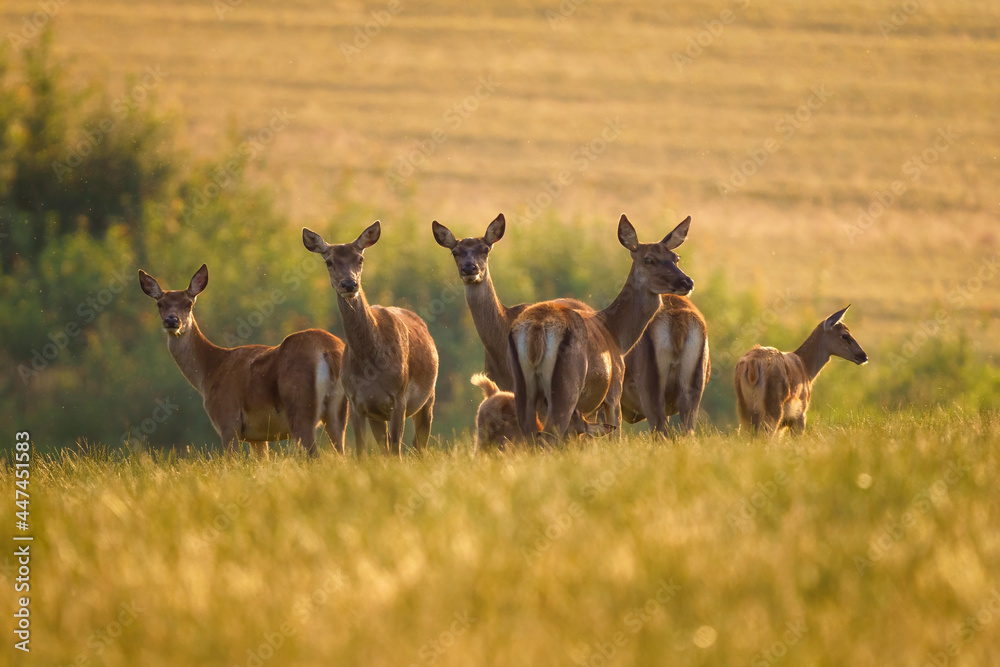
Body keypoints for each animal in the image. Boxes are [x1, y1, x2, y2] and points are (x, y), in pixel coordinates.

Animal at [137, 264, 347, 456]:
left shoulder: (227, 419)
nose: (172, 320)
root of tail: (328, 350)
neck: (210, 371)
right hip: (338, 410)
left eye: (188, 303)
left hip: (300, 404)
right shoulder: (258, 436)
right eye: (160, 304)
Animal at [302, 221, 439, 458]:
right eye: (329, 261)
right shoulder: (356, 401)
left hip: (428, 397)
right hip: (378, 415)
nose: (349, 284)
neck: (371, 365)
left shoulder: (399, 397)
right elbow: (361, 451)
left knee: (419, 445)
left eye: (360, 259)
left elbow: (396, 451)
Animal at [508, 214, 695, 440]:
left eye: (676, 258)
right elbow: (615, 435)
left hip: (521, 388)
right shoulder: (614, 390)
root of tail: (537, 328)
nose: (687, 282)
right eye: (648, 259)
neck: (617, 337)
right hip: (567, 387)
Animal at [734, 305, 868, 436]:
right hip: (773, 406)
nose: (864, 356)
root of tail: (752, 366)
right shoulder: (800, 414)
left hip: (744, 409)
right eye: (845, 335)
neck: (807, 369)